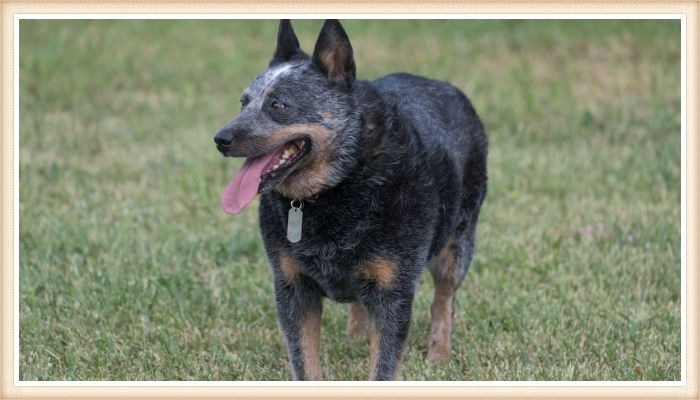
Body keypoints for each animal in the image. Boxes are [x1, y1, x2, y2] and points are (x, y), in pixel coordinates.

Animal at [213, 19, 486, 382]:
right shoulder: (292, 285)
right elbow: (305, 364)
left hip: (458, 241)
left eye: (278, 105)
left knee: (445, 297)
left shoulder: (393, 291)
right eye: (243, 102)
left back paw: (438, 353)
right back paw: (357, 335)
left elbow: (383, 367)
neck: (336, 187)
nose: (221, 139)